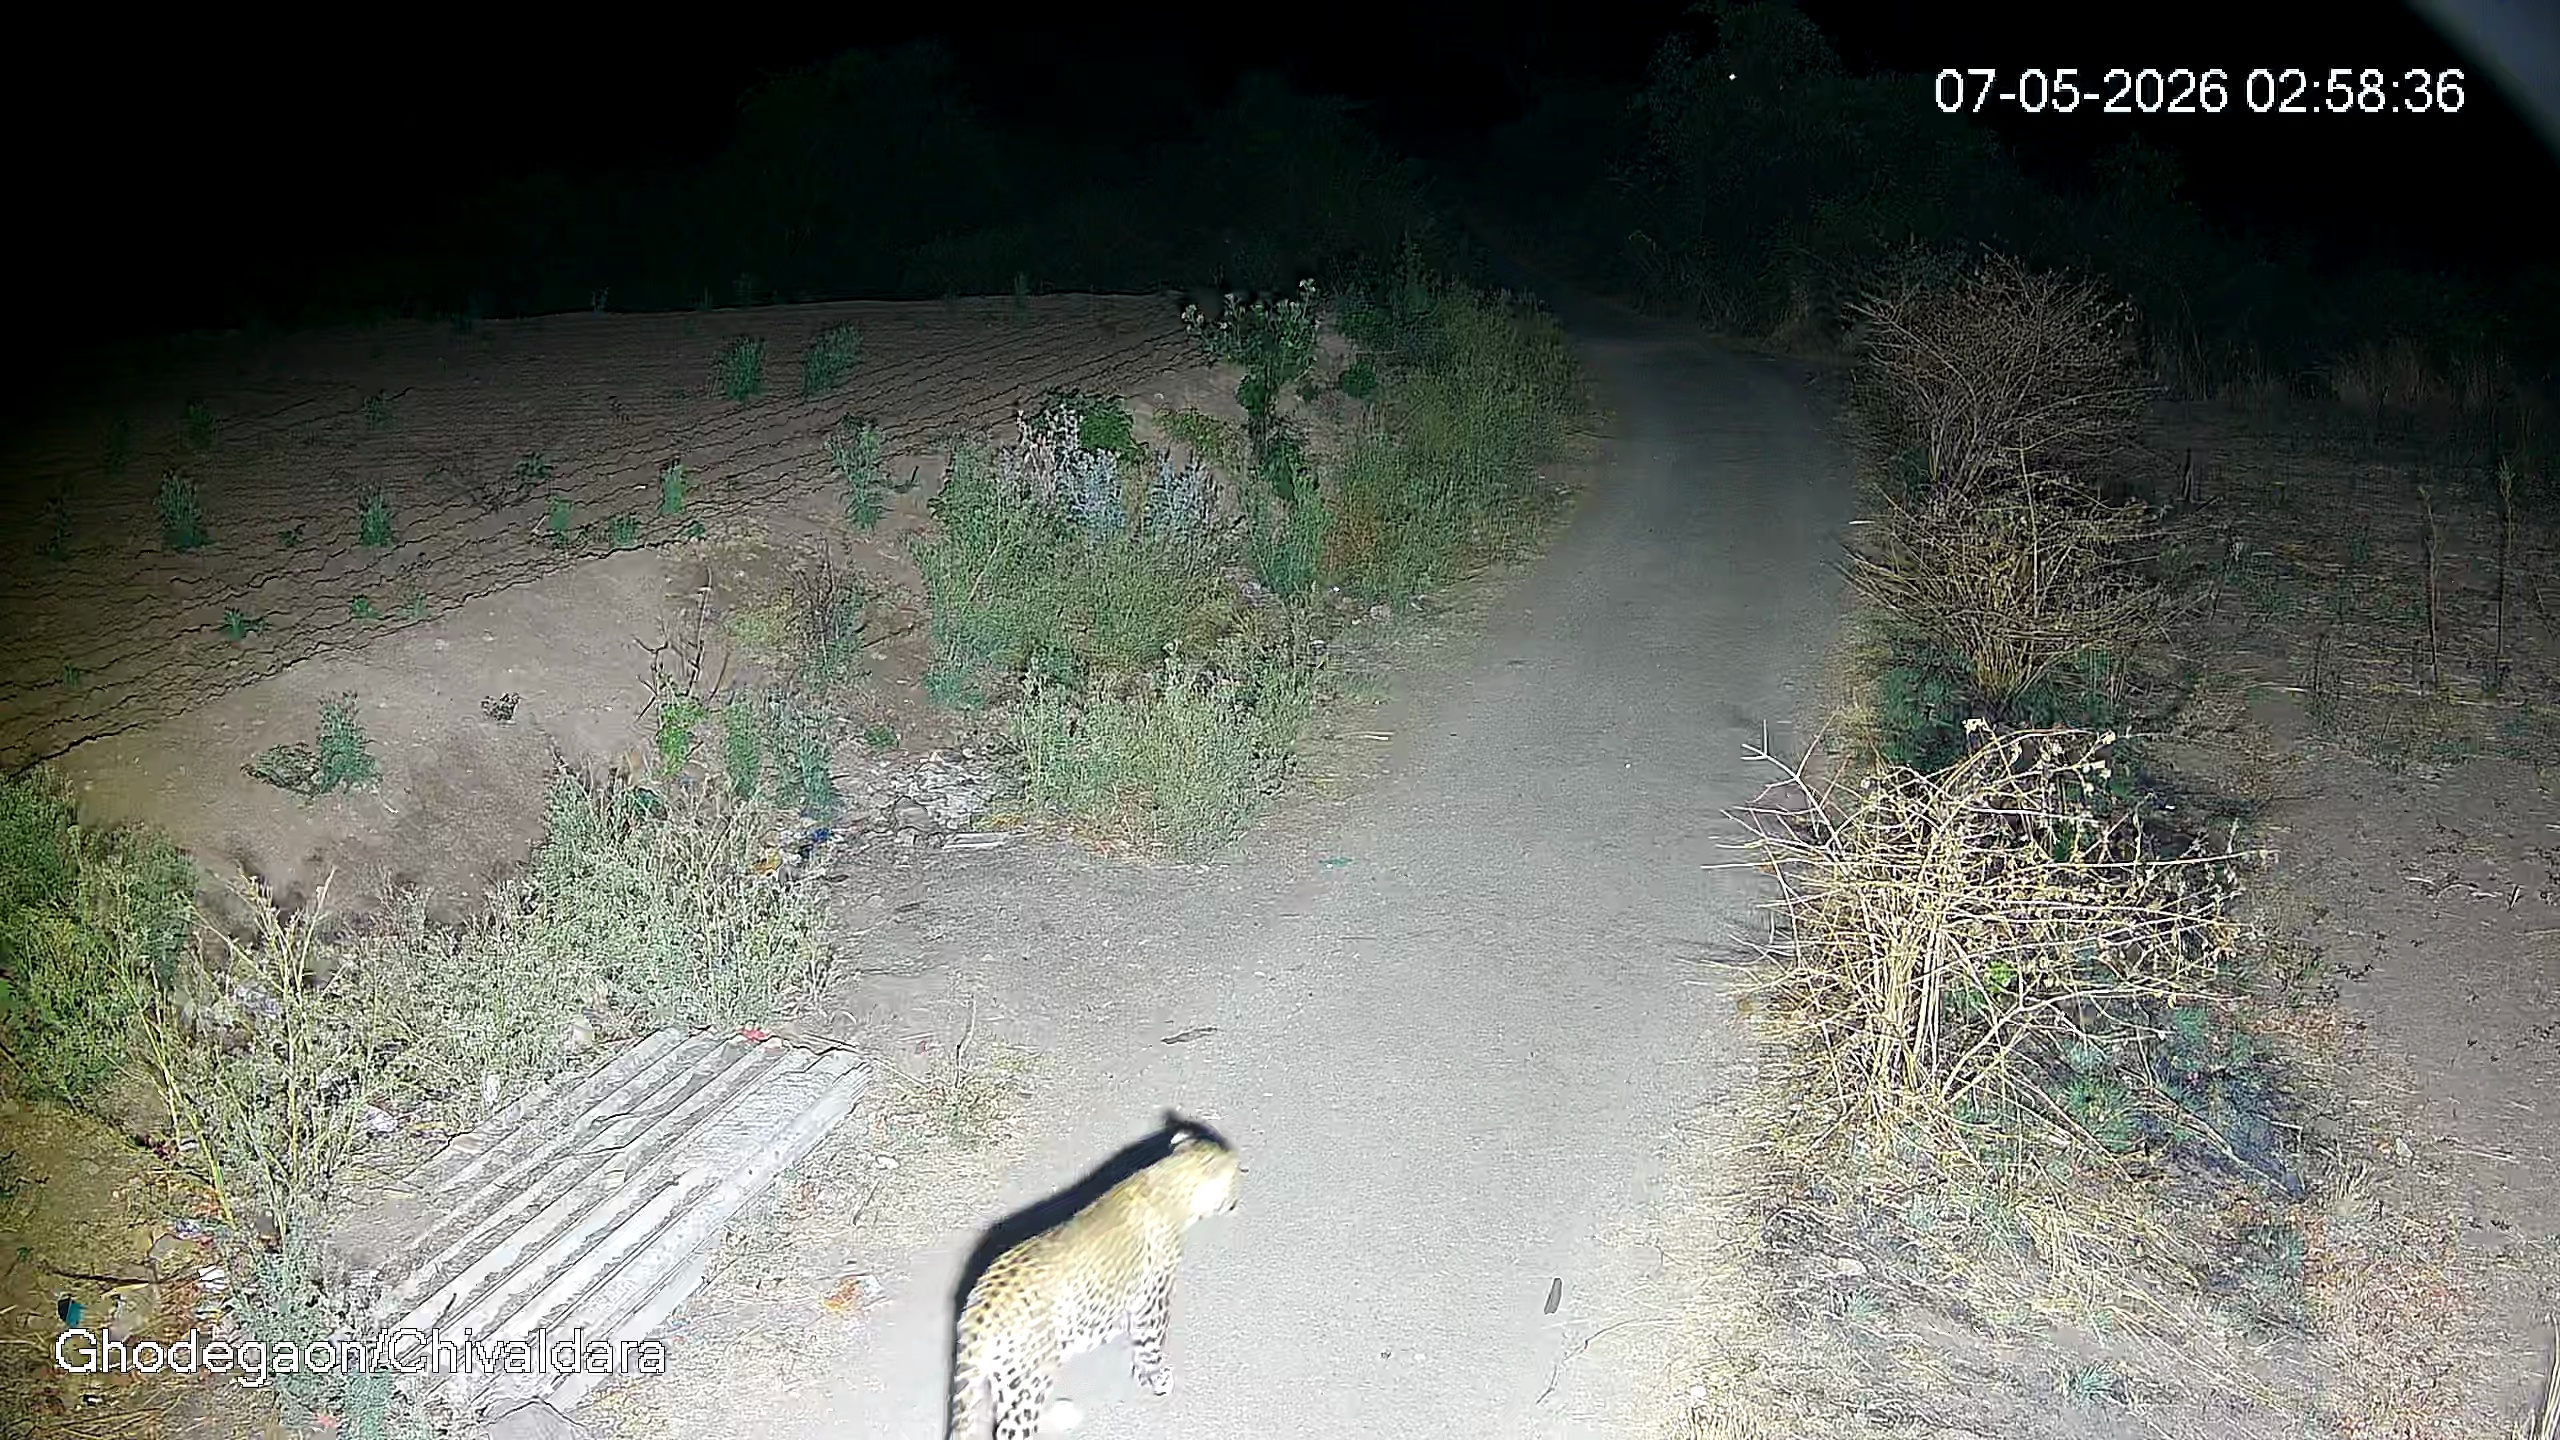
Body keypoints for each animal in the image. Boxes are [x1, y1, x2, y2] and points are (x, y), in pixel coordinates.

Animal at [946, 1124, 1241, 1439]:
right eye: (1234, 1178)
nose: (1235, 1201)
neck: (1168, 1178)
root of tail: (978, 1312)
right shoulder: (1154, 1298)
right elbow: (1151, 1342)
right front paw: (1158, 1379)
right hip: (1028, 1381)